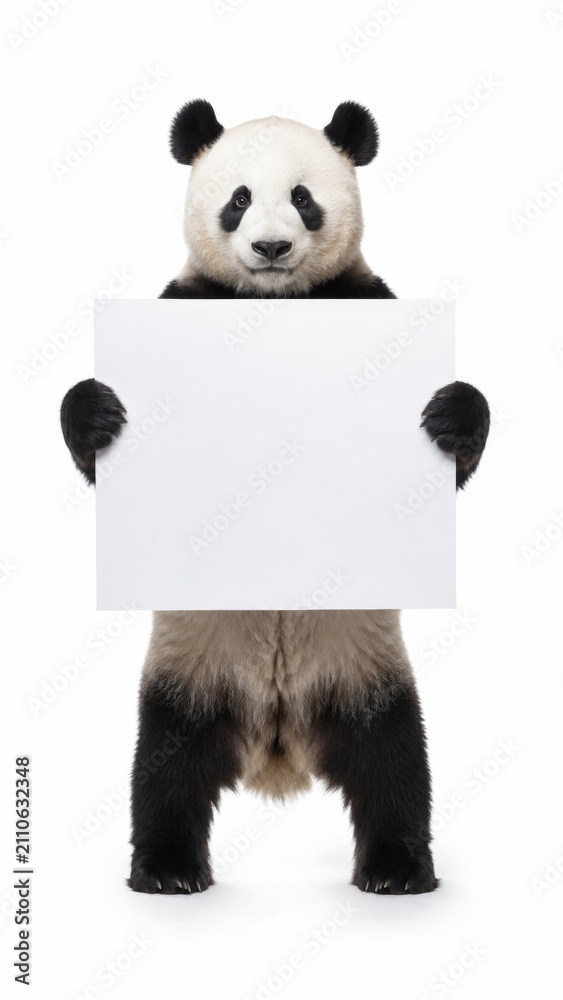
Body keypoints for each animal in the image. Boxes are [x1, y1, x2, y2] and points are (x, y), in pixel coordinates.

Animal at [61, 100, 490, 895]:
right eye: (237, 199)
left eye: (302, 197)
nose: (268, 246)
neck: (275, 301)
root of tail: (278, 740)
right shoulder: (188, 296)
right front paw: (98, 410)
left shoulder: (360, 294)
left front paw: (450, 412)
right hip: (189, 674)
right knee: (164, 770)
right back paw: (166, 870)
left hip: (366, 674)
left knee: (394, 765)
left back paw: (397, 869)